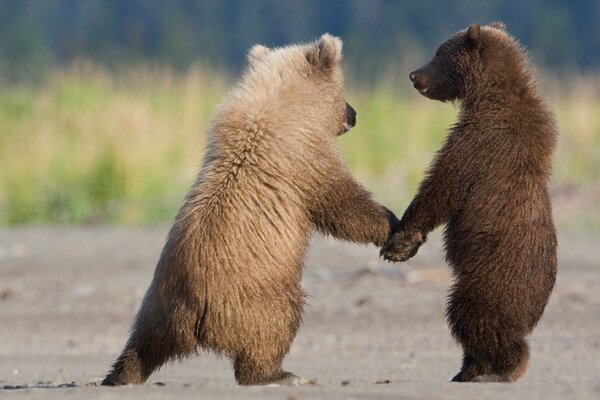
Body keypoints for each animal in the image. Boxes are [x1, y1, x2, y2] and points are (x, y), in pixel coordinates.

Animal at [101, 35, 400, 388]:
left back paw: (119, 375)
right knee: (276, 325)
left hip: (156, 305)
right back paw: (278, 373)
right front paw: (392, 226)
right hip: (256, 297)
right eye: (343, 91)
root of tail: (191, 315)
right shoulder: (302, 157)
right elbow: (341, 203)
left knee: (142, 343)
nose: (354, 114)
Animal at [382, 22, 560, 384]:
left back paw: (495, 368)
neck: (487, 94)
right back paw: (468, 369)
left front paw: (402, 241)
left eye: (439, 52)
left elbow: (444, 184)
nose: (414, 74)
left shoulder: (481, 139)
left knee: (473, 316)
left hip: (490, 280)